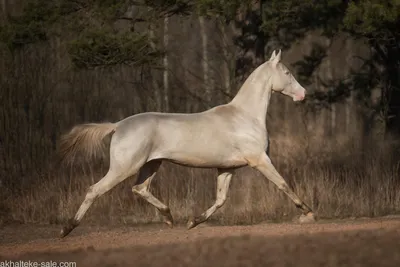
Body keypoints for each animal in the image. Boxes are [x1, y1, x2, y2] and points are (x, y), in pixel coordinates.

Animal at [59, 50, 316, 239]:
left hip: (152, 164)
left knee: (140, 188)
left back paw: (169, 217)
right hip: (124, 167)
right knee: (95, 190)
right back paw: (67, 228)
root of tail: (118, 125)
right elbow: (283, 184)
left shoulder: (227, 168)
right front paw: (308, 213)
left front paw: (193, 222)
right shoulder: (260, 160)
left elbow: (220, 200)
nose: (303, 94)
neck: (245, 116)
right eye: (287, 72)